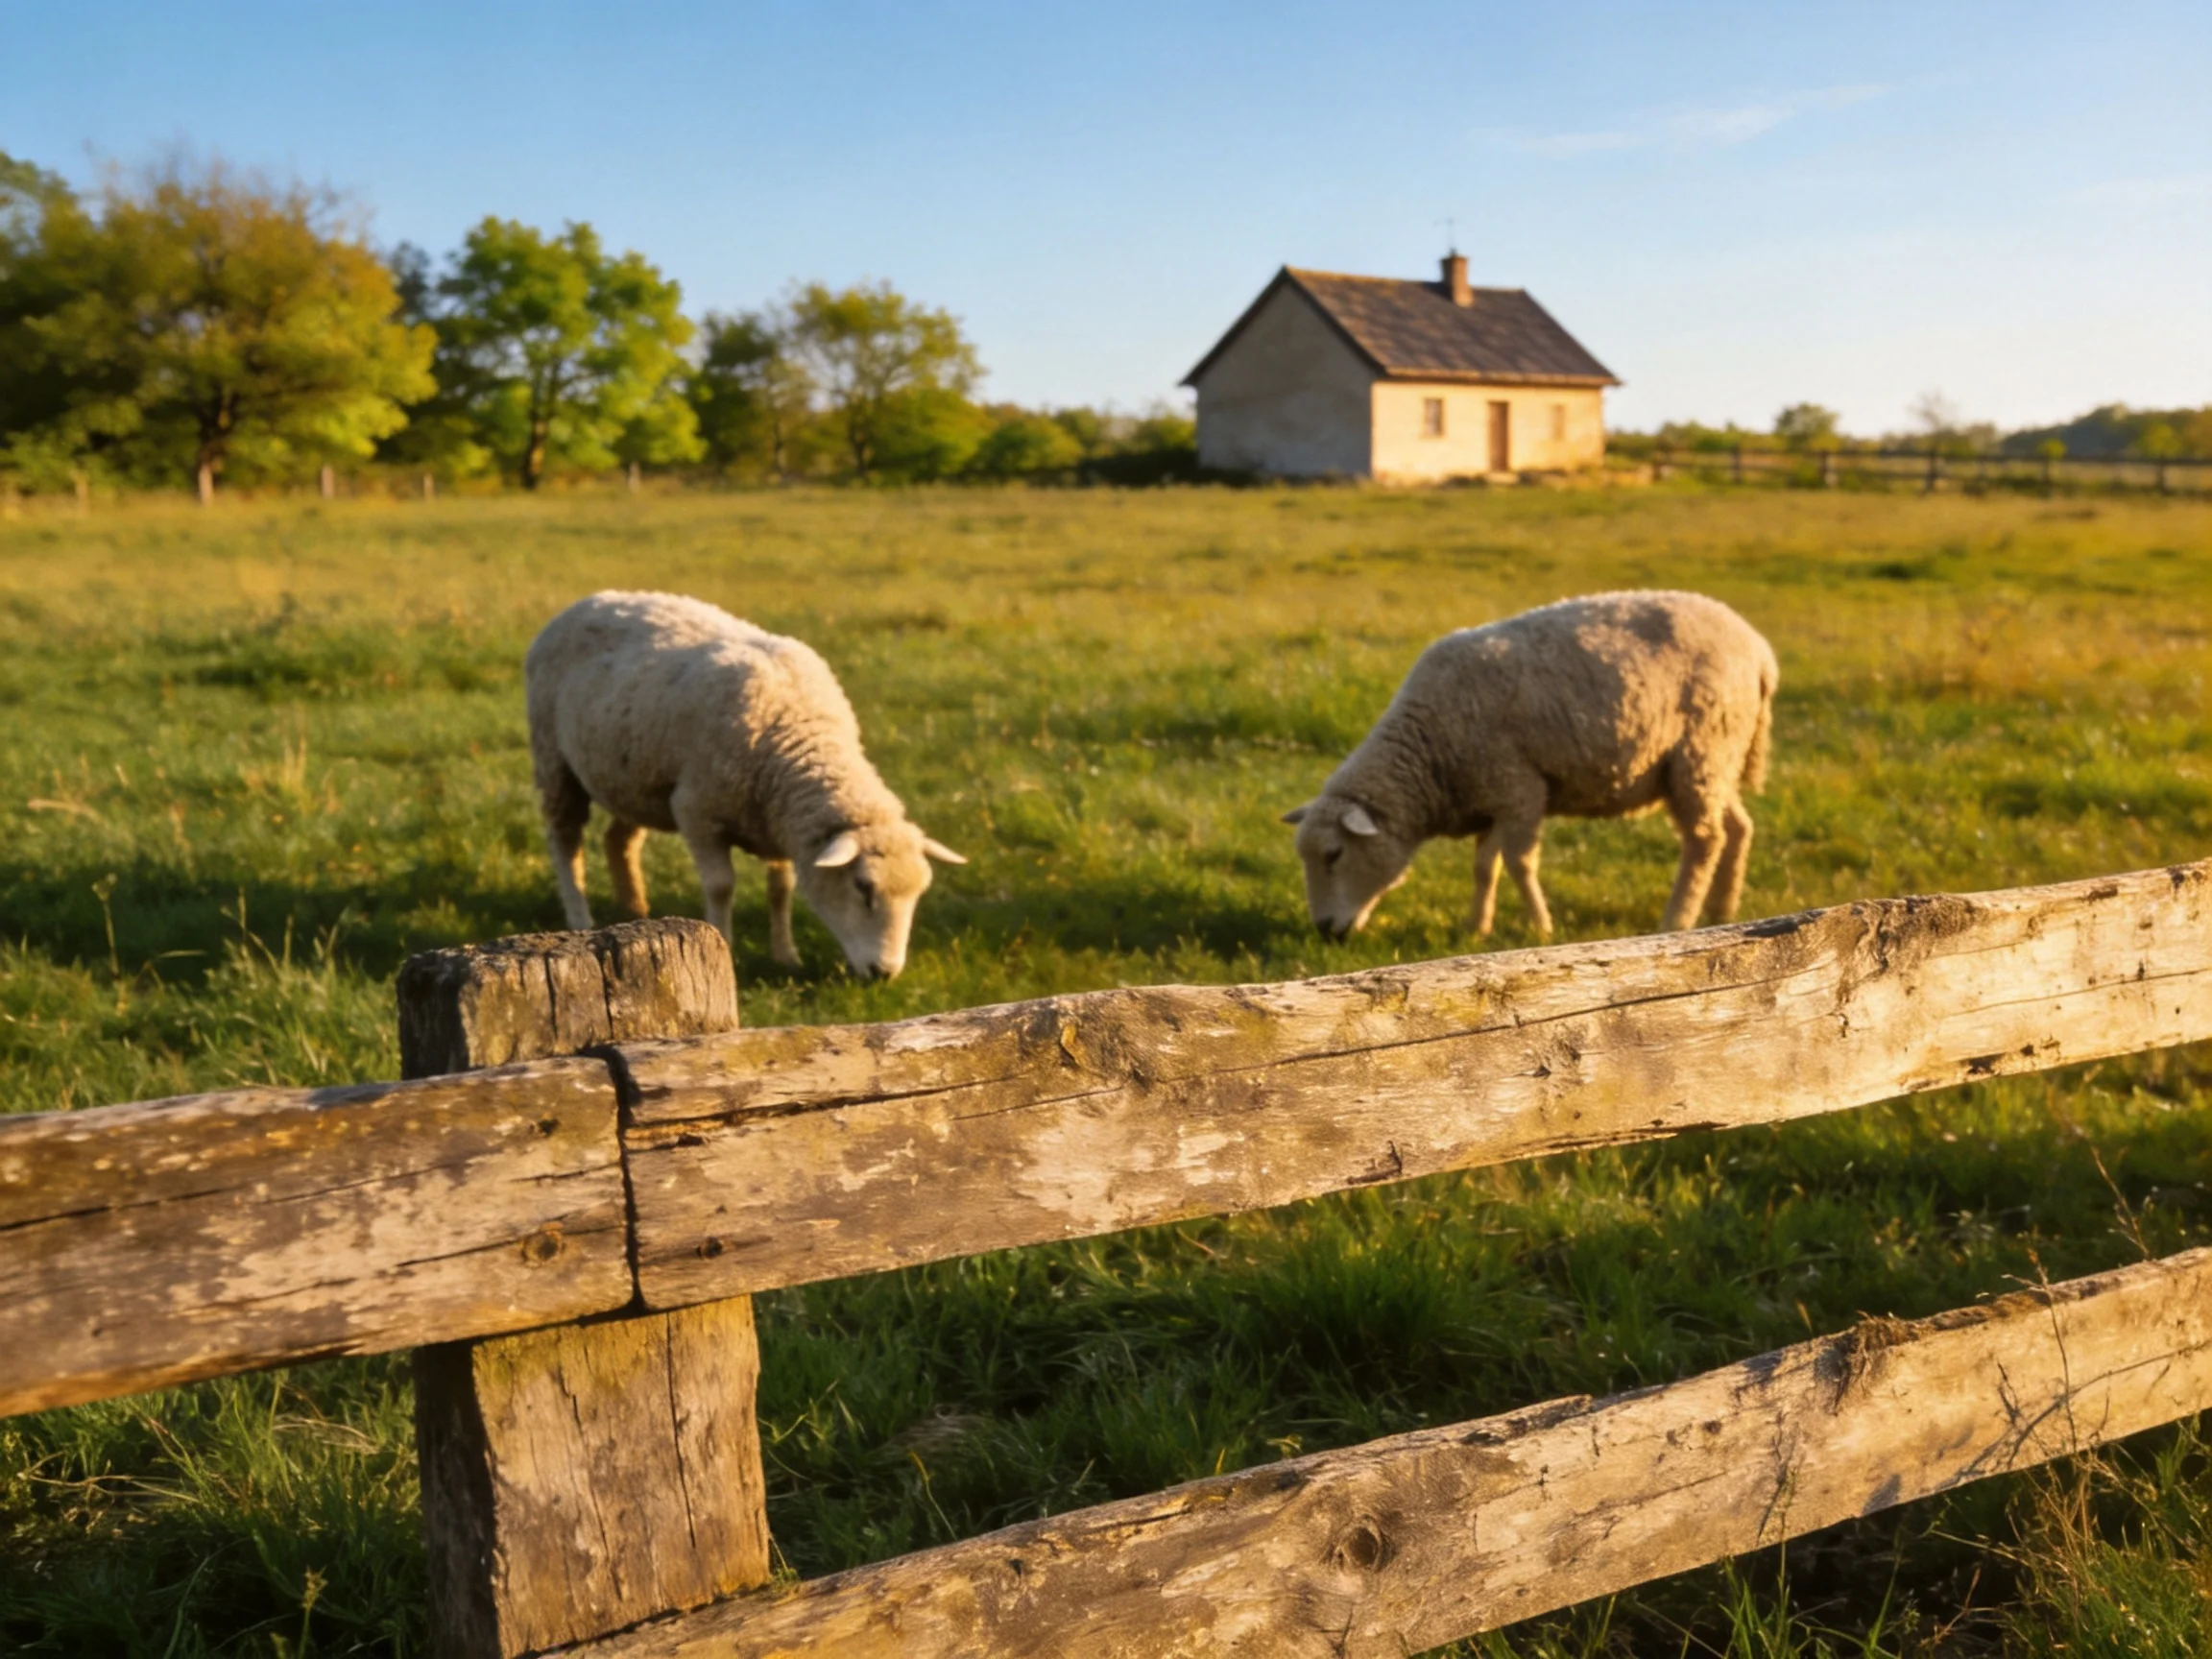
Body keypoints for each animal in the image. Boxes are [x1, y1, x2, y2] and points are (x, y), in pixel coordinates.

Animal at [525, 590, 965, 979]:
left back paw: (635, 910)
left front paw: (786, 955)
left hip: (633, 779)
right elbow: (722, 886)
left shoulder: (777, 823)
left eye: (919, 892)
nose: (884, 973)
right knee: (565, 840)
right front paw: (725, 945)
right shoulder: (697, 811)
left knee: (618, 839)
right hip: (554, 760)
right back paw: (580, 915)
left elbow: (781, 889)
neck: (796, 733)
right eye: (863, 887)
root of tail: (587, 600)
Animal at [1283, 590, 1776, 940]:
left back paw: (1677, 920)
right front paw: (1476, 928)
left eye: (1334, 854)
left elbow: (1519, 862)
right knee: (1738, 828)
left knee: (1704, 840)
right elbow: (1485, 867)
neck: (1430, 752)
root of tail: (1758, 650)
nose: (1324, 931)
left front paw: (1540, 927)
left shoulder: (1519, 788)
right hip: (1715, 760)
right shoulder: (1490, 795)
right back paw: (1721, 911)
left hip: (1700, 753)